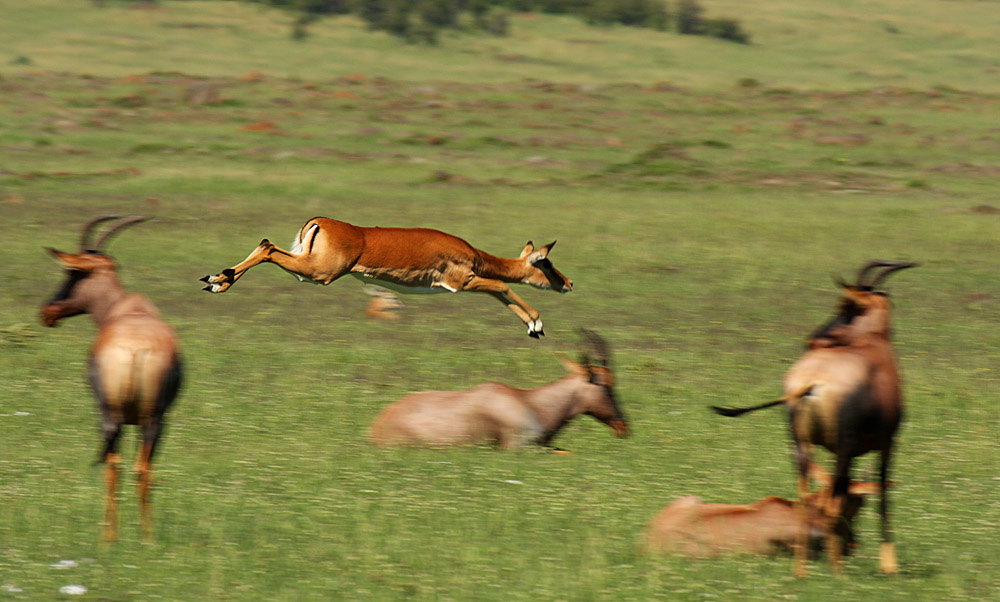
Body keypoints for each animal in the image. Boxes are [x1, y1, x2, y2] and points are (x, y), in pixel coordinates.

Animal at [40, 214, 183, 540]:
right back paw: (147, 539)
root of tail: (135, 348)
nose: (47, 311)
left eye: (73, 273)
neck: (130, 310)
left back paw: (109, 539)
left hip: (110, 416)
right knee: (142, 469)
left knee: (113, 466)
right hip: (154, 420)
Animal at [200, 217, 576, 338]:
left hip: (310, 268)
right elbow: (502, 285)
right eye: (546, 263)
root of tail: (319, 221)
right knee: (267, 247)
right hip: (320, 273)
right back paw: (218, 281)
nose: (569, 283)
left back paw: (216, 280)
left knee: (265, 243)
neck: (475, 255)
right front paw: (537, 323)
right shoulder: (461, 282)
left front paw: (533, 328)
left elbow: (501, 292)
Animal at [712, 258, 916, 576]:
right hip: (843, 447)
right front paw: (888, 566)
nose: (814, 339)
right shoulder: (887, 443)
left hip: (801, 444)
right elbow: (882, 495)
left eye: (847, 307)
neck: (873, 345)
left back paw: (802, 572)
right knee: (829, 503)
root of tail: (812, 381)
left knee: (806, 497)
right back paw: (838, 573)